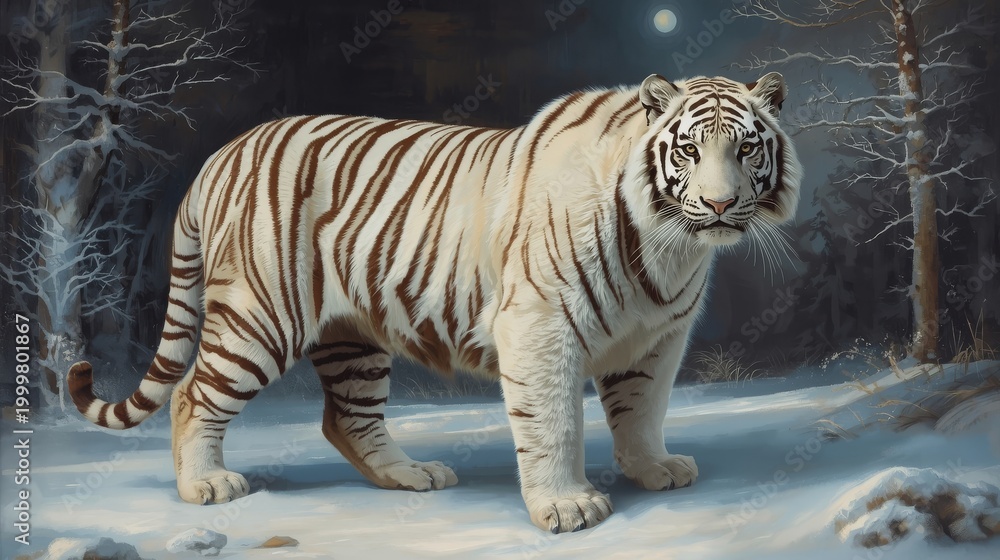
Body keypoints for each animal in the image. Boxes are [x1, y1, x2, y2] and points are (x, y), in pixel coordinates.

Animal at [68, 72, 802, 533]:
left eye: (746, 149)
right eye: (689, 151)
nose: (718, 204)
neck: (668, 247)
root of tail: (219, 156)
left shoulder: (658, 337)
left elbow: (642, 409)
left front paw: (653, 469)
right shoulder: (540, 324)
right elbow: (554, 422)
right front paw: (567, 507)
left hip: (352, 338)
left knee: (348, 419)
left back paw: (413, 475)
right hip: (259, 317)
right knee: (194, 394)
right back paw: (207, 486)